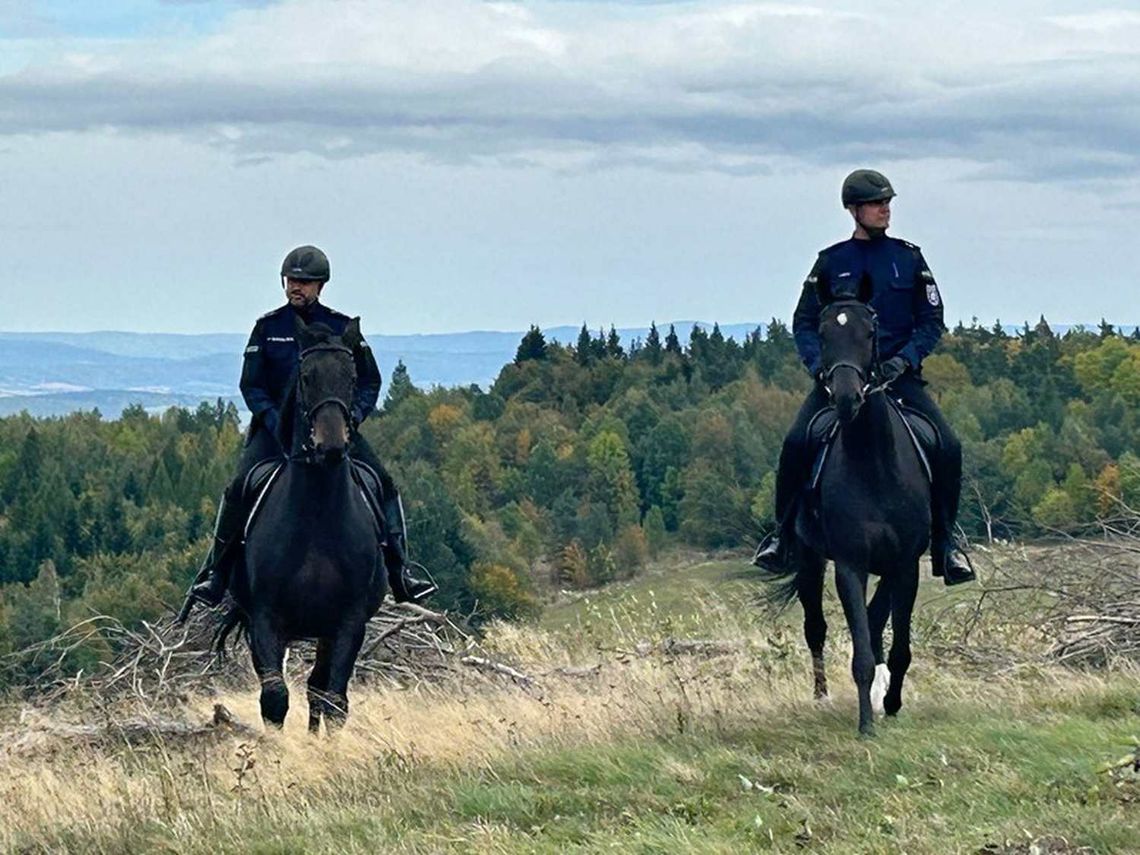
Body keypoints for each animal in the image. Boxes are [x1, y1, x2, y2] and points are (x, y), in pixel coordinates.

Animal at [217, 319, 387, 734]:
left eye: (352, 375)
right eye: (306, 376)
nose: (331, 446)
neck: (317, 514)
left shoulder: (348, 623)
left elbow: (335, 700)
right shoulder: (265, 619)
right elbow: (274, 698)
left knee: (318, 689)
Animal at [761, 286, 930, 738]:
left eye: (870, 332)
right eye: (822, 333)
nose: (846, 397)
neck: (875, 465)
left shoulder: (905, 565)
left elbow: (896, 642)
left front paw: (891, 703)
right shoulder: (850, 565)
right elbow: (862, 655)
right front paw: (866, 723)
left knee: (874, 620)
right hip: (809, 558)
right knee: (815, 627)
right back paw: (820, 696)